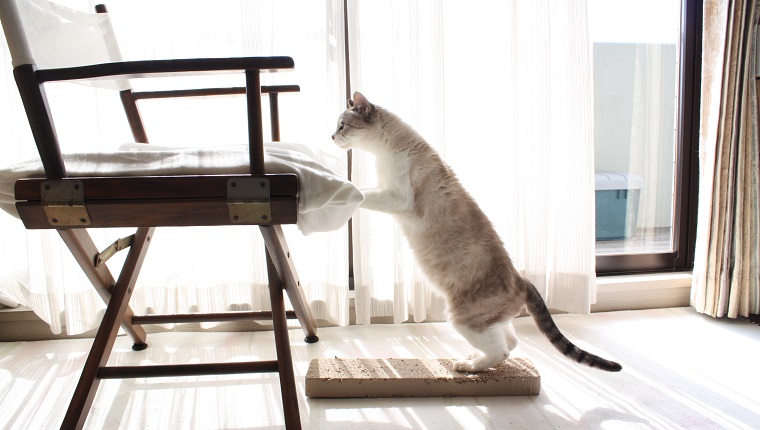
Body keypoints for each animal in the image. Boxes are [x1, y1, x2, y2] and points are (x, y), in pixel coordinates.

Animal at [332, 91, 624, 372]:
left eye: (342, 125)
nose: (332, 136)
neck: (388, 150)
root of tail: (521, 279)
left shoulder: (397, 197)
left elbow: (362, 192)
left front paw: (342, 188)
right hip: (487, 322)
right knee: (510, 342)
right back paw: (474, 357)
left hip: (463, 319)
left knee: (501, 351)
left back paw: (468, 366)